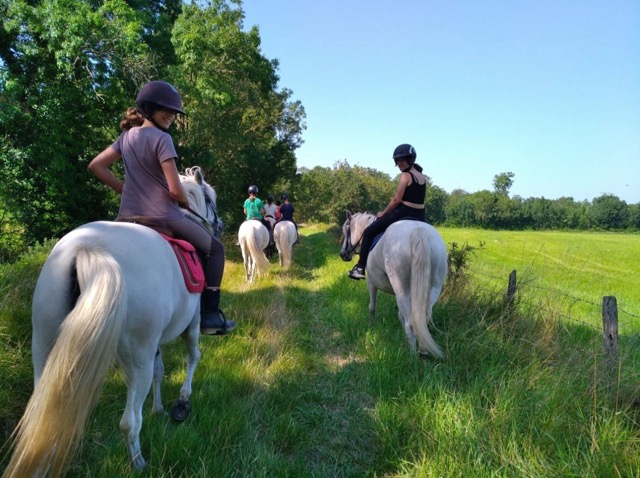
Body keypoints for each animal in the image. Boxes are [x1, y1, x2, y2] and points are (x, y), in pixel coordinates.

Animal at [3, 166, 222, 476]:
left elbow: (160, 371)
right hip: (137, 356)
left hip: (44, 344)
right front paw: (182, 401)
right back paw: (139, 462)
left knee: (41, 415)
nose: (220, 225)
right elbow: (193, 357)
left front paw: (158, 409)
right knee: (129, 421)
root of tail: (87, 248)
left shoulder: (155, 342)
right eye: (211, 198)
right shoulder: (190, 327)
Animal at [340, 211, 450, 356]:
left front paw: (372, 326)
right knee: (422, 320)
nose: (343, 254)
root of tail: (419, 231)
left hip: (402, 289)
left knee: (411, 324)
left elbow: (372, 307)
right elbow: (401, 315)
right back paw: (423, 351)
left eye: (346, 231)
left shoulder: (371, 283)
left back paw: (412, 355)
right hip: (433, 289)